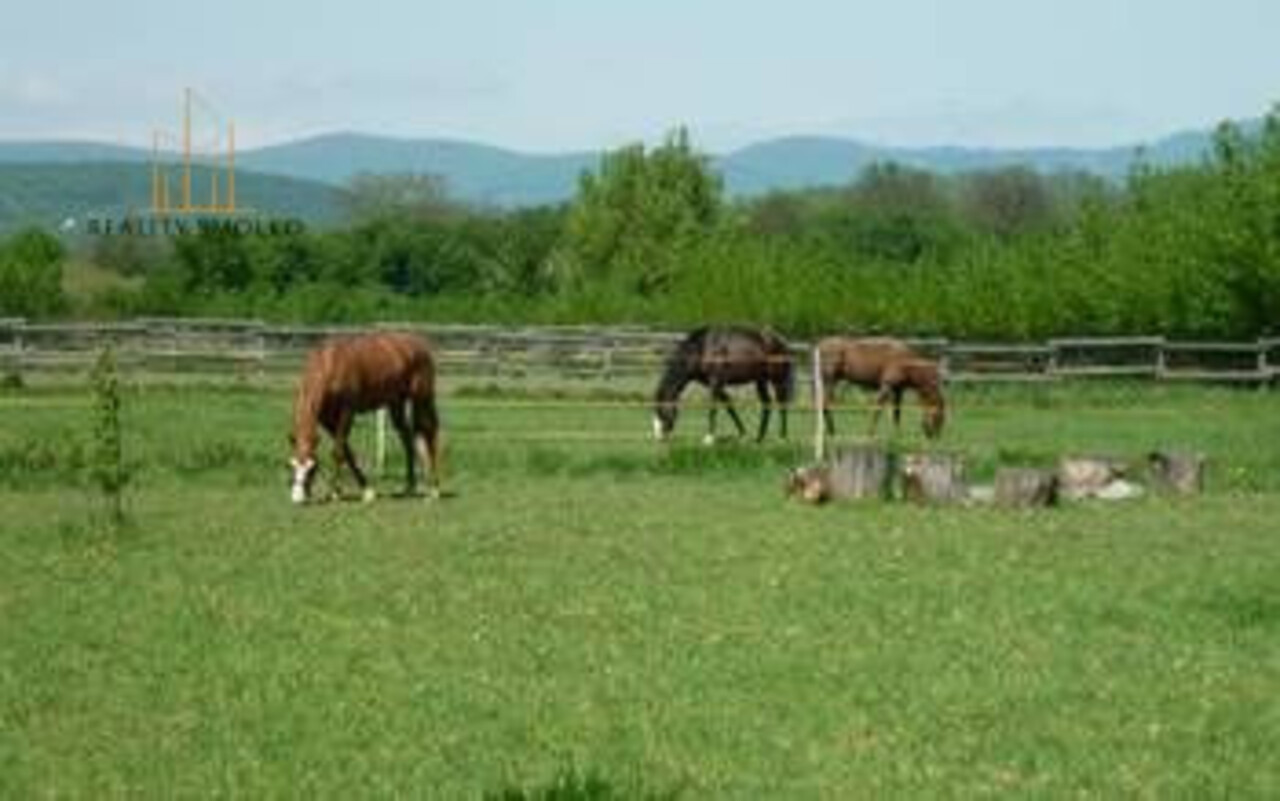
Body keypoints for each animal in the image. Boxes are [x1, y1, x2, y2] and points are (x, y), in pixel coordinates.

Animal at [293, 330, 442, 499]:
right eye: (292, 465)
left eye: (312, 468)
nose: (298, 498)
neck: (330, 364)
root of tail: (420, 345)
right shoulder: (327, 420)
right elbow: (347, 451)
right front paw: (366, 490)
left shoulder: (347, 412)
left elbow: (338, 451)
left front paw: (335, 492)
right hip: (396, 403)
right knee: (407, 439)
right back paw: (409, 487)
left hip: (422, 398)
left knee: (430, 432)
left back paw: (434, 489)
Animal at [655, 322, 793, 442]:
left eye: (662, 410)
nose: (660, 437)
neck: (702, 348)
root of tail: (780, 341)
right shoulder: (717, 385)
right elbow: (729, 406)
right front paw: (743, 433)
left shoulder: (715, 382)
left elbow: (713, 407)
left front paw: (709, 438)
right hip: (760, 381)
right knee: (767, 404)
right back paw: (759, 438)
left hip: (777, 380)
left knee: (782, 405)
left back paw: (782, 437)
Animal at [814, 335, 947, 440]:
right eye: (938, 416)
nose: (936, 437)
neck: (906, 363)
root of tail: (820, 345)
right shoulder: (886, 386)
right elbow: (877, 410)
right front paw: (870, 433)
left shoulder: (898, 390)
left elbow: (897, 413)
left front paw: (897, 435)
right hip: (830, 381)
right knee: (825, 404)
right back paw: (831, 431)